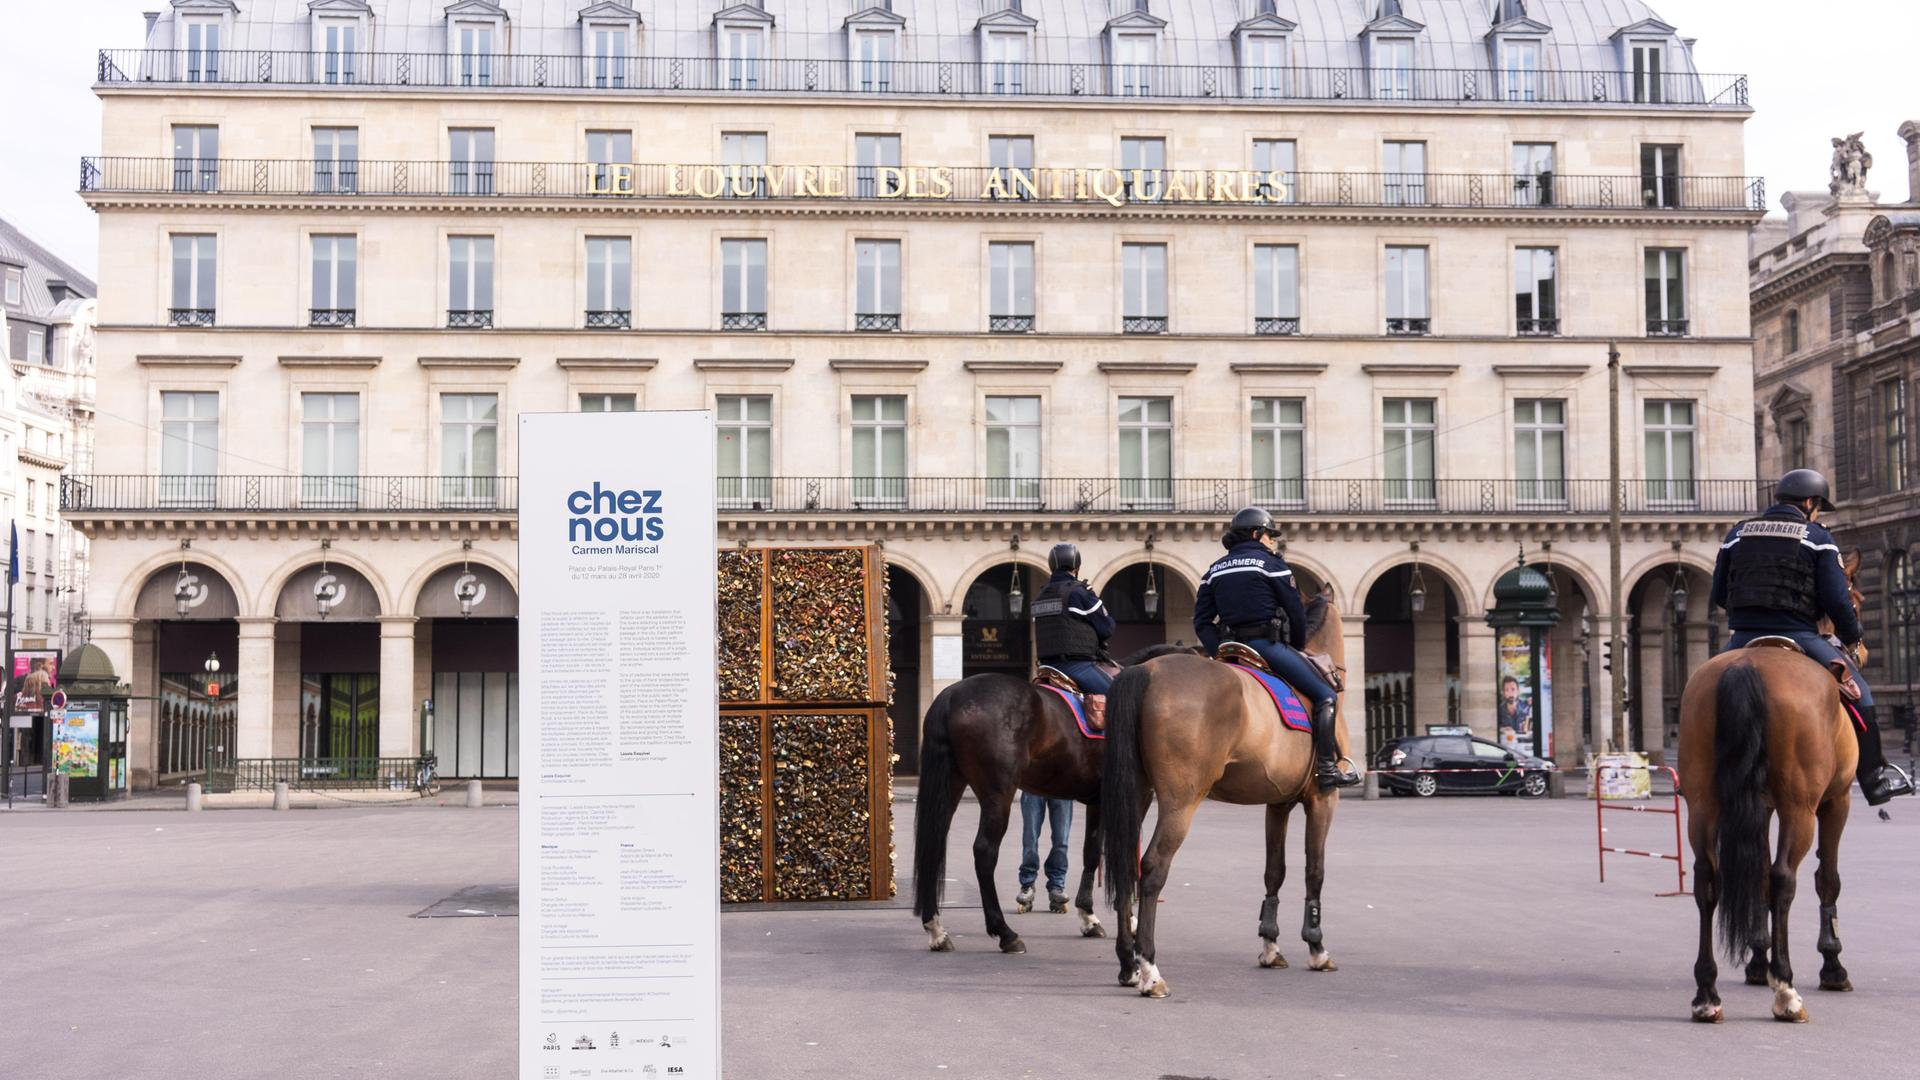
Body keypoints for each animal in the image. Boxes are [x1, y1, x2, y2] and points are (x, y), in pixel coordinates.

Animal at [906, 638, 1190, 949]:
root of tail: (951, 695)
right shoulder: (1136, 797)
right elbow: (1122, 853)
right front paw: (1125, 918)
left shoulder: (1099, 800)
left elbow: (1092, 852)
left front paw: (1089, 916)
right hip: (998, 794)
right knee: (984, 851)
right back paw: (1005, 933)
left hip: (952, 784)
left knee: (934, 841)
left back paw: (936, 929)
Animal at [1098, 591, 1351, 999]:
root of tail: (1146, 672)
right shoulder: (1322, 800)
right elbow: (1315, 871)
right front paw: (1316, 946)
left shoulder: (1277, 804)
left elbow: (1274, 871)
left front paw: (1270, 945)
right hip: (1180, 802)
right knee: (1151, 868)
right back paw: (1150, 969)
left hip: (1135, 794)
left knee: (1124, 865)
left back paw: (1127, 965)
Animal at [1681, 549, 1858, 1022]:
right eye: (1854, 597)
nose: (1858, 646)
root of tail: (1748, 664)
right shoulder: (1836, 801)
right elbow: (1827, 878)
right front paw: (1832, 965)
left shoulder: (1758, 805)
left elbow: (1753, 874)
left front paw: (1756, 961)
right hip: (1801, 807)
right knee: (1783, 878)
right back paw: (1786, 991)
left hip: (1703, 802)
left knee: (1708, 878)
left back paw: (1707, 993)